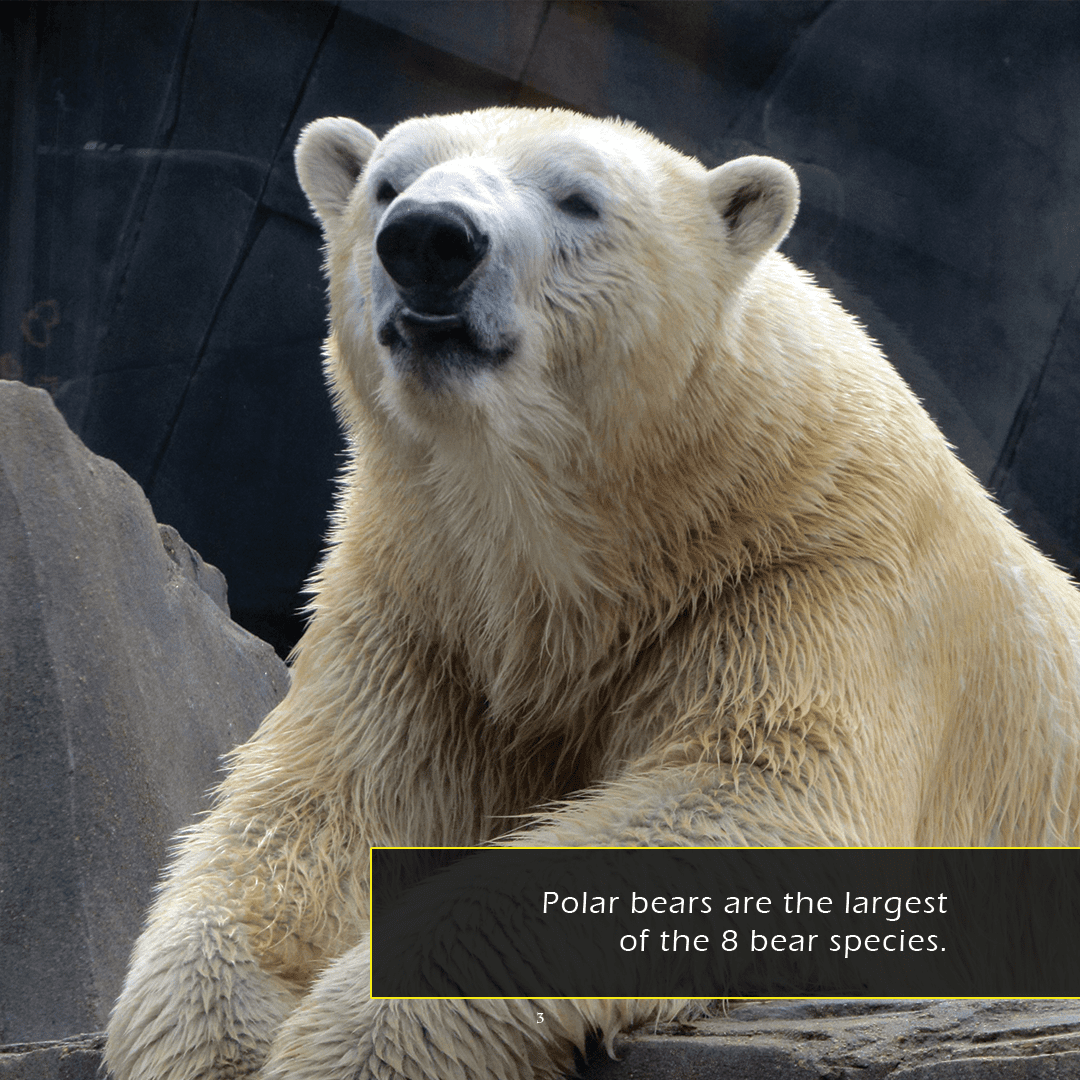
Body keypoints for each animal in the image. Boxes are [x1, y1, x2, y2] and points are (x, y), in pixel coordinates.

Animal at [105, 106, 1080, 1080]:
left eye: (579, 199)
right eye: (388, 183)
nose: (428, 238)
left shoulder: (807, 567)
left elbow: (751, 787)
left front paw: (349, 1042)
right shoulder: (422, 607)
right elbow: (316, 803)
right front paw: (219, 1038)